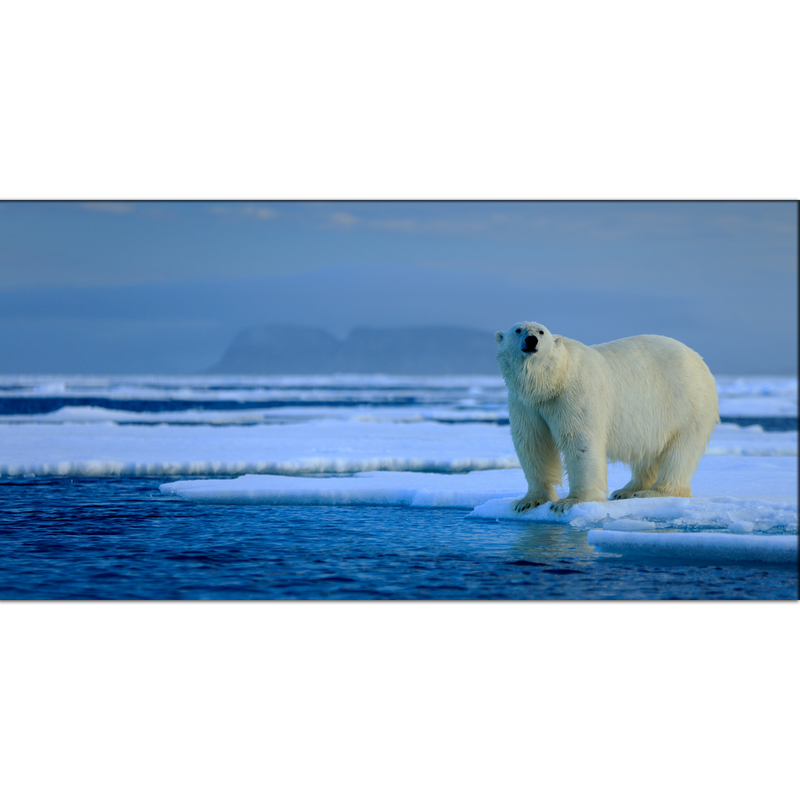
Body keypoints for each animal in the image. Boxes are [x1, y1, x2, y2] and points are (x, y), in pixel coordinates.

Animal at [494, 322, 719, 514]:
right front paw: (529, 501)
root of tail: (700, 360)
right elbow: (533, 443)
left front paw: (570, 502)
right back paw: (627, 490)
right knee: (647, 452)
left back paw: (654, 492)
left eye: (541, 332)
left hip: (687, 405)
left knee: (680, 452)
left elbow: (580, 441)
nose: (531, 340)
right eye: (518, 330)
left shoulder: (575, 393)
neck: (553, 381)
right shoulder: (526, 404)